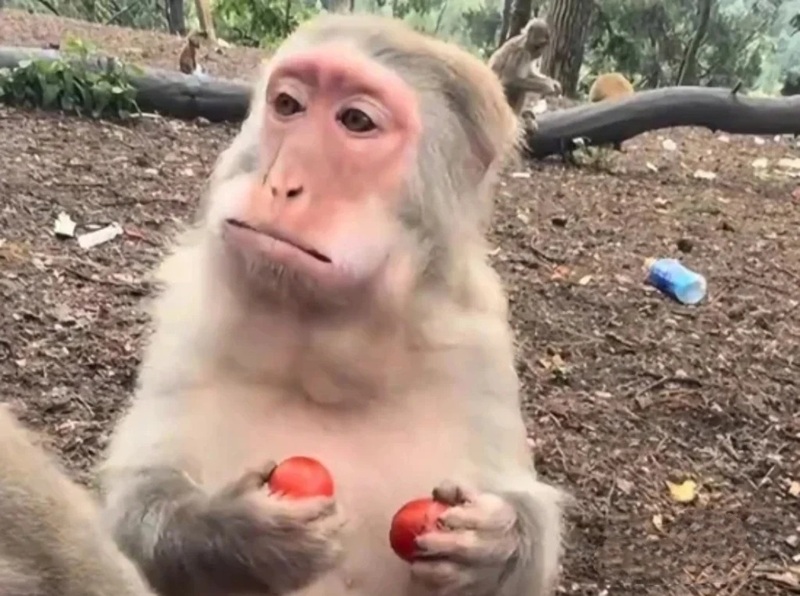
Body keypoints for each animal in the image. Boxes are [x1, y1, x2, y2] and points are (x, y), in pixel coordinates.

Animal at [99, 12, 566, 596]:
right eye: (288, 105)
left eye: (356, 120)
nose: (280, 183)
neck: (323, 349)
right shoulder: (189, 315)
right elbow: (133, 499)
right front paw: (237, 532)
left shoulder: (478, 346)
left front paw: (497, 544)